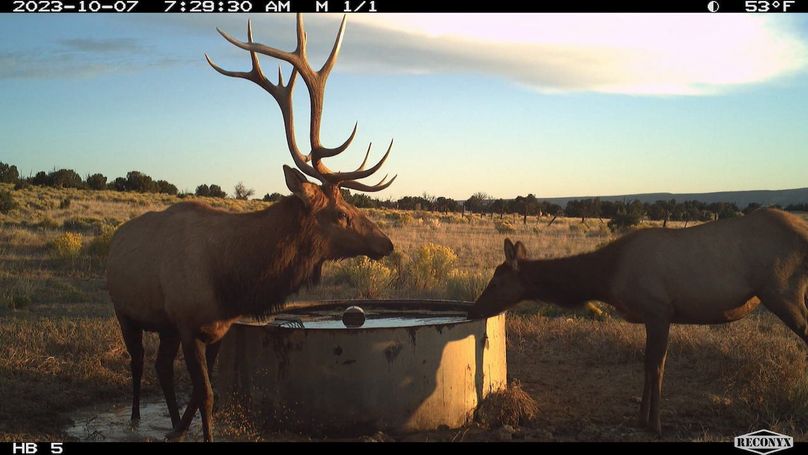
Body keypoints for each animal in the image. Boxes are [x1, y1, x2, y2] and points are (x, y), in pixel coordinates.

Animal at [106, 14, 396, 442]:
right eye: (342, 214)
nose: (387, 243)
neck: (231, 282)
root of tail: (115, 238)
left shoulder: (212, 329)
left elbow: (203, 392)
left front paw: (179, 430)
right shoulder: (188, 323)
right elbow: (207, 395)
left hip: (163, 325)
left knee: (160, 367)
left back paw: (169, 424)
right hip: (124, 311)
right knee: (138, 361)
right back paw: (135, 417)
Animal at [469, 208, 808, 435]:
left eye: (497, 281)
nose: (474, 310)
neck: (606, 278)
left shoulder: (658, 311)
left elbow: (656, 366)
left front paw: (655, 424)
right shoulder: (651, 316)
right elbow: (648, 365)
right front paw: (641, 418)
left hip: (782, 292)